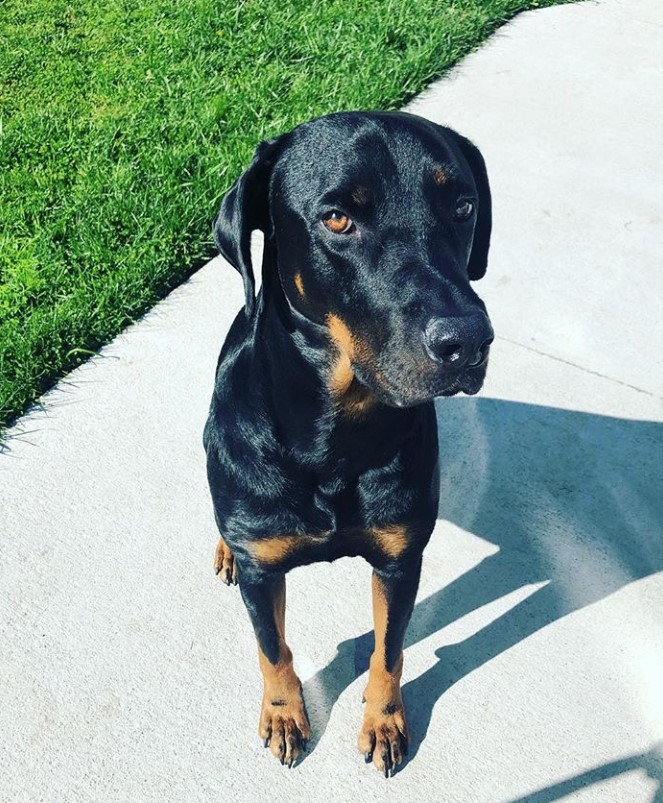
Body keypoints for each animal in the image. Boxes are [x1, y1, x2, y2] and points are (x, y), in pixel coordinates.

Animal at [205, 110, 496, 776]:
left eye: (462, 205)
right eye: (337, 218)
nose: (469, 340)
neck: (335, 439)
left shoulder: (401, 557)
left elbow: (388, 649)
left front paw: (384, 721)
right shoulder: (265, 571)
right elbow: (273, 647)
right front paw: (284, 715)